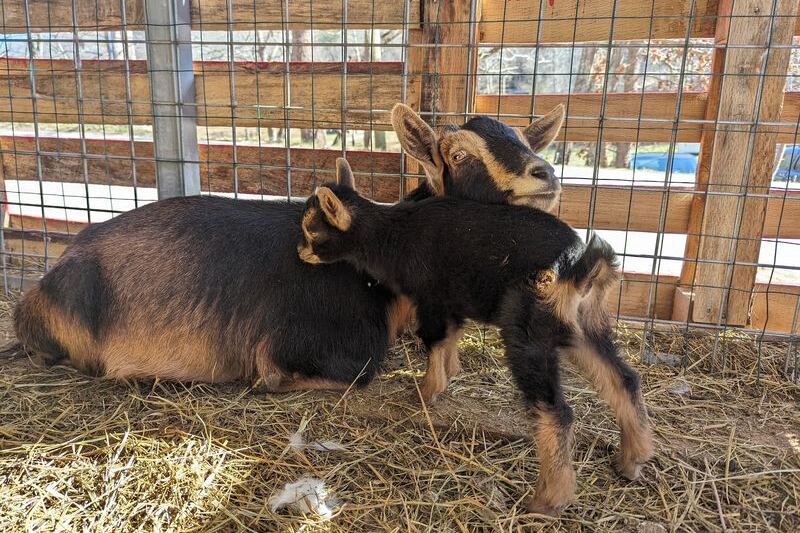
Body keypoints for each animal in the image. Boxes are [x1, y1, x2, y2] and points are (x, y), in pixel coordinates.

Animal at [12, 104, 565, 392]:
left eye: (526, 139)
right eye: (458, 154)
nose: (545, 174)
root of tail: (44, 283)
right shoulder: (308, 344)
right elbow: (320, 373)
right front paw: (266, 379)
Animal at [298, 158, 653, 514]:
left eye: (311, 229)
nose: (300, 251)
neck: (391, 235)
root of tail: (579, 266)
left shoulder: (431, 299)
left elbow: (434, 341)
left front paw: (427, 391)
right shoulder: (452, 304)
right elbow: (450, 338)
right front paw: (449, 373)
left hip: (529, 331)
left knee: (557, 411)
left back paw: (548, 499)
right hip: (587, 324)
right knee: (623, 379)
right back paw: (632, 459)